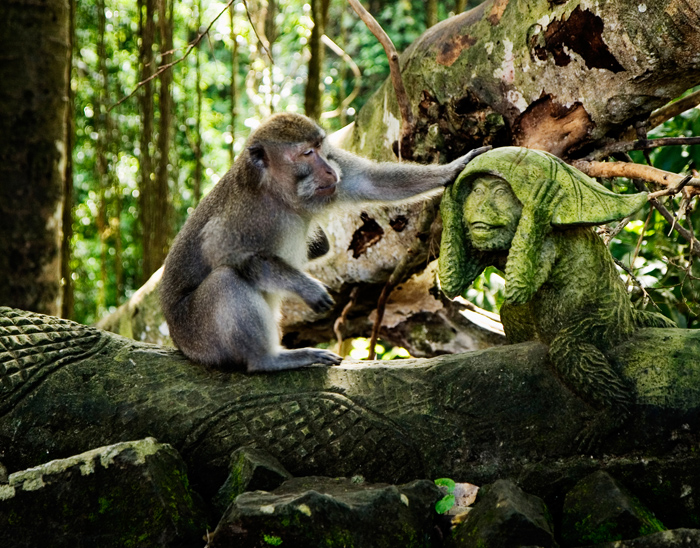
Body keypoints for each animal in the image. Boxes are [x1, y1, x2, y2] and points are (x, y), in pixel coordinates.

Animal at [160, 114, 486, 374]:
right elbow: (228, 255)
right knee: (226, 279)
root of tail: (179, 342)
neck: (276, 193)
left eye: (321, 149)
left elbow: (370, 182)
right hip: (200, 338)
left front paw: (454, 167)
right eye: (307, 153)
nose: (329, 169)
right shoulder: (240, 215)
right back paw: (267, 360)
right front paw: (307, 287)